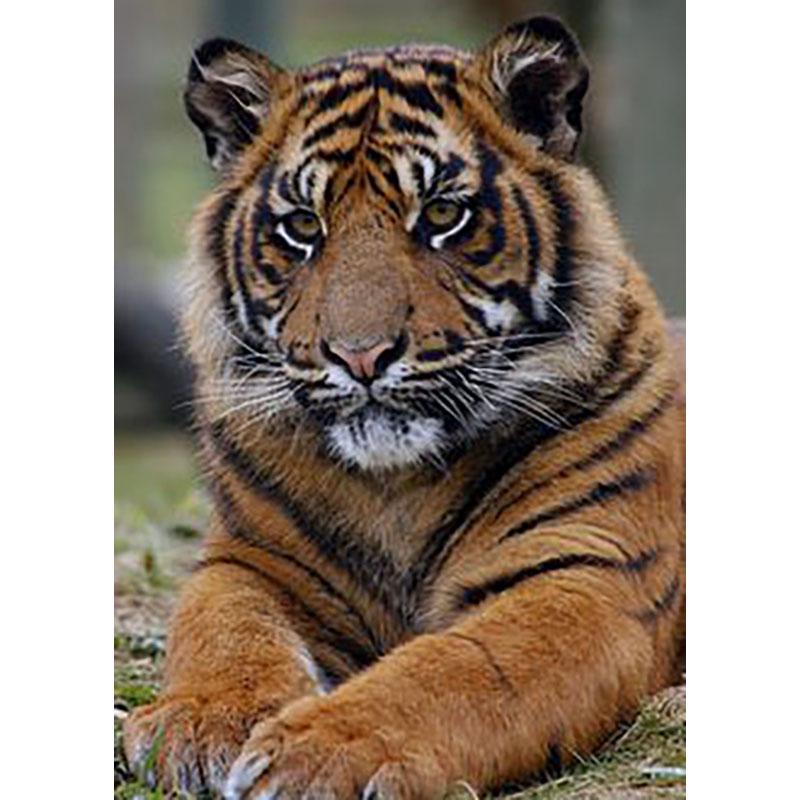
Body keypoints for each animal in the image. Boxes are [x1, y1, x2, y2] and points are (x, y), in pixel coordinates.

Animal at [123, 15, 685, 800]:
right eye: (303, 226)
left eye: (443, 215)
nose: (360, 356)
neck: (398, 485)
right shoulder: (252, 559)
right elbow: (222, 633)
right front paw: (202, 720)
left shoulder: (587, 571)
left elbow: (458, 669)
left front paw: (320, 750)